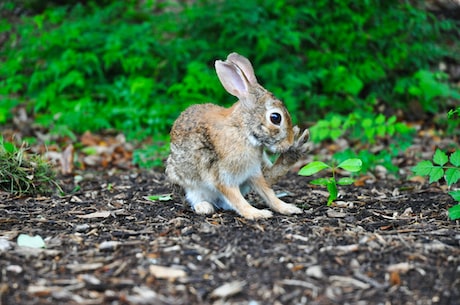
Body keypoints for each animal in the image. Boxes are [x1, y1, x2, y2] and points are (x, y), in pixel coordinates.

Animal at [165, 52, 310, 218]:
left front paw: (287, 208)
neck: (243, 130)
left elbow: (268, 193)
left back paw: (294, 152)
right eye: (275, 117)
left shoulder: (253, 172)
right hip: (187, 183)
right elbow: (237, 199)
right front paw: (257, 214)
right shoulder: (223, 177)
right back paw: (204, 207)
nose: (288, 143)